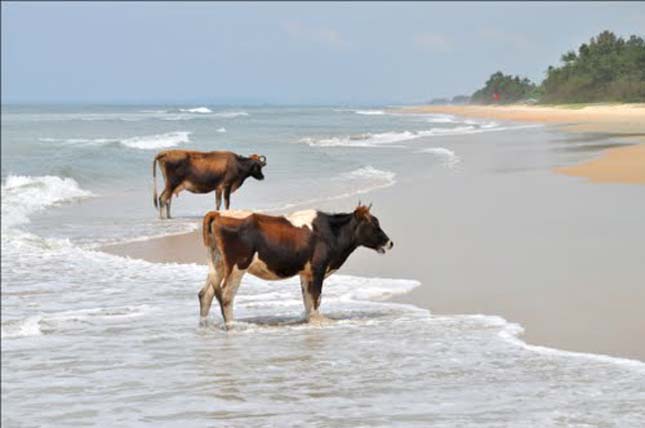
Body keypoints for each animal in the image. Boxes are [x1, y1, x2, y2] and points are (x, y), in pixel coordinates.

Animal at [199, 204, 394, 328]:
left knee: (205, 294)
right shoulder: (318, 269)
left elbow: (307, 300)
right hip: (237, 266)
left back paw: (204, 324)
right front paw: (318, 321)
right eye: (375, 224)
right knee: (225, 296)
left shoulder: (305, 273)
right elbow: (316, 298)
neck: (332, 232)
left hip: (218, 263)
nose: (390, 243)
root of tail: (218, 214)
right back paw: (231, 325)